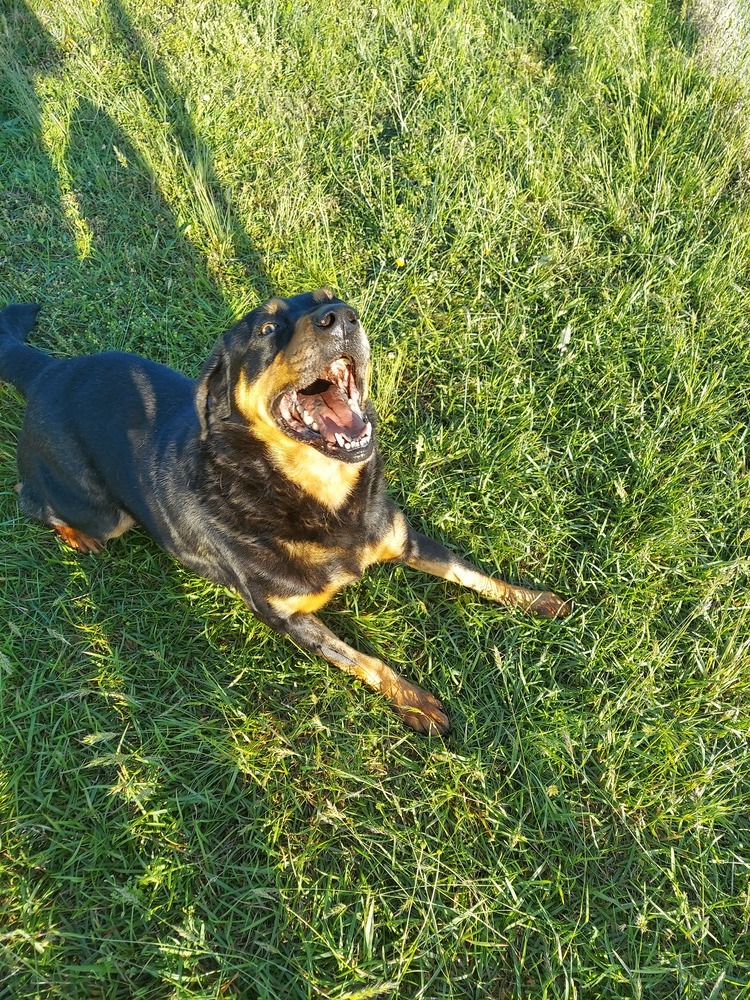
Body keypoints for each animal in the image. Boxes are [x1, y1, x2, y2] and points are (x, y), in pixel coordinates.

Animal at [0, 292, 568, 736]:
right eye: (268, 328)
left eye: (328, 297)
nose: (343, 316)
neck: (319, 497)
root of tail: (48, 370)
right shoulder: (287, 616)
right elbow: (363, 659)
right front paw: (416, 703)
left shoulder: (402, 539)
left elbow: (467, 572)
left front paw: (536, 600)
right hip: (99, 510)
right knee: (31, 497)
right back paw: (76, 537)